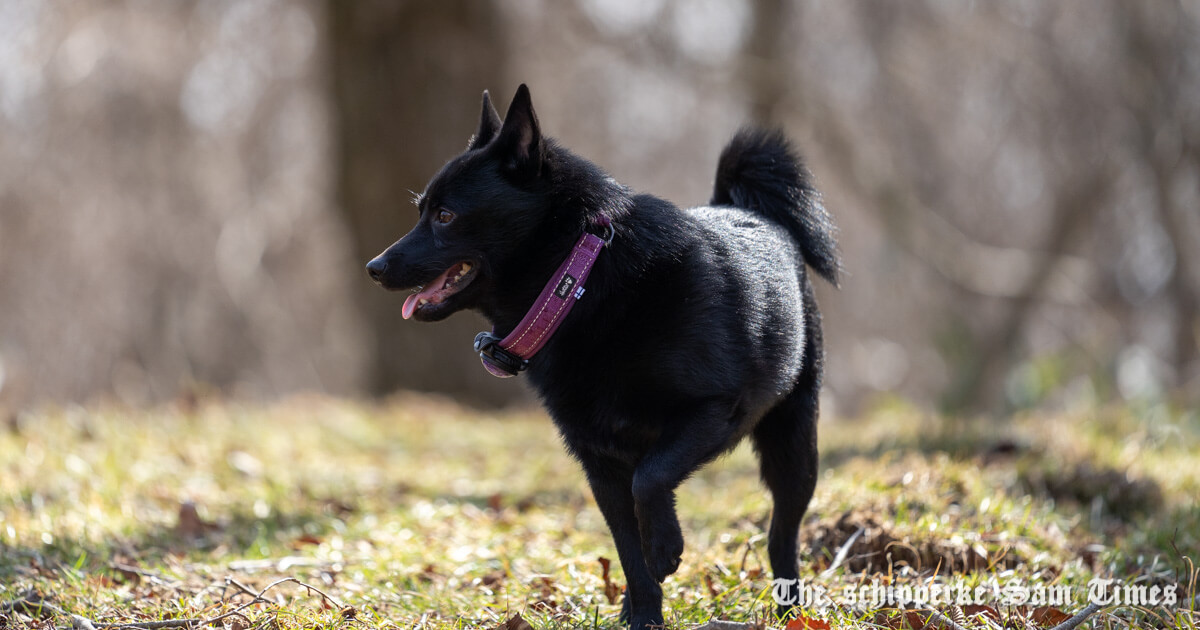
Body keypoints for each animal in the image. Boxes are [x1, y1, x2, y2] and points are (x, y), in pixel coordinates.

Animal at [367, 84, 844, 628]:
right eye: (421, 210)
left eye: (445, 216)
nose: (374, 267)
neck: (580, 279)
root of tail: (744, 208)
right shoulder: (600, 464)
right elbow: (629, 550)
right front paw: (645, 616)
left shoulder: (712, 411)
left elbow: (650, 481)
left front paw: (665, 548)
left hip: (794, 445)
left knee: (782, 534)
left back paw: (790, 611)